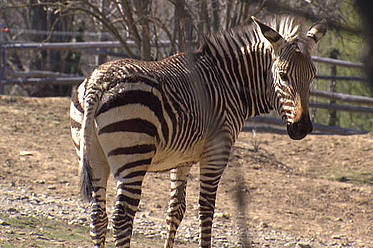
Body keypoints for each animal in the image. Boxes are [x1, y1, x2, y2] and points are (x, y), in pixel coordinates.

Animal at [70, 16, 326, 248]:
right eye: (283, 76)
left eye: (313, 76)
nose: (302, 128)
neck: (228, 82)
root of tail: (98, 83)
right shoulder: (216, 152)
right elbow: (206, 208)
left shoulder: (182, 159)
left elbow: (176, 210)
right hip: (132, 158)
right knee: (122, 218)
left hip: (94, 158)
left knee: (98, 217)